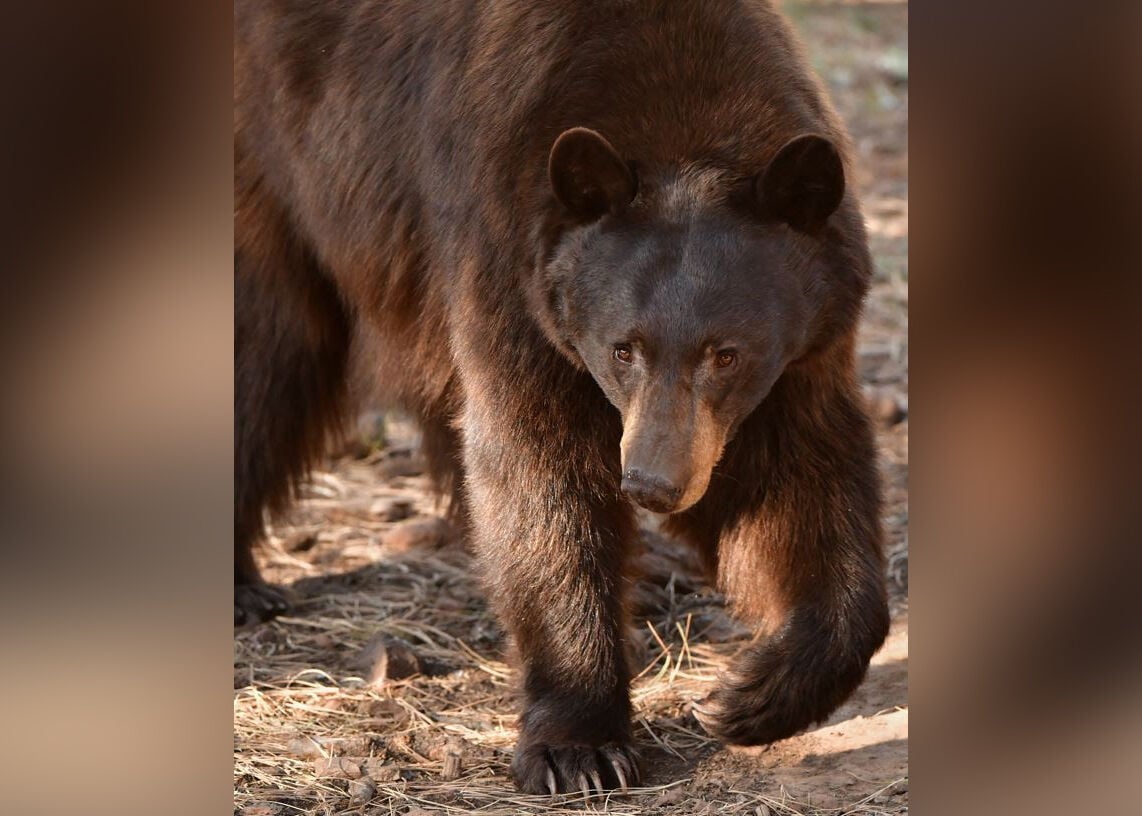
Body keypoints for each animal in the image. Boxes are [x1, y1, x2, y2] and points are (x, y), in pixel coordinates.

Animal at [234, 0, 890, 794]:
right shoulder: (505, 266)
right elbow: (539, 476)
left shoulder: (799, 354)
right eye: (623, 348)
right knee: (266, 350)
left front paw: (751, 696)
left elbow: (805, 476)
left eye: (727, 353)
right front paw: (579, 746)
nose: (652, 483)